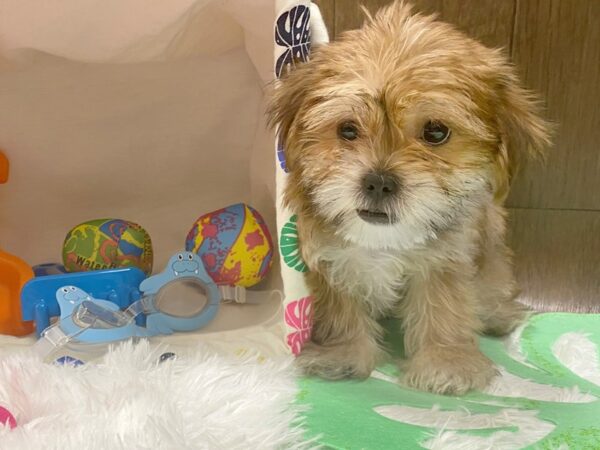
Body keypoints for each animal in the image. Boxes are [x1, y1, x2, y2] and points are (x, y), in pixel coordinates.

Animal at [270, 0, 552, 394]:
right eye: (347, 130)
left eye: (435, 132)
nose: (378, 182)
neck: (383, 239)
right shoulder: (329, 258)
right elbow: (340, 306)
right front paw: (341, 354)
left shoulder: (445, 258)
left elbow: (444, 306)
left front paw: (447, 363)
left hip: (489, 234)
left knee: (492, 277)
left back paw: (499, 312)